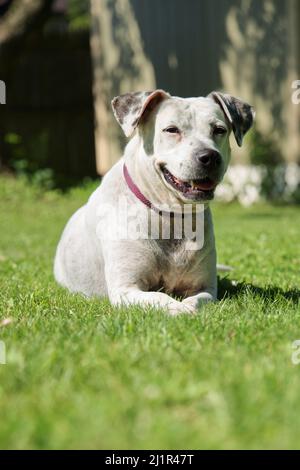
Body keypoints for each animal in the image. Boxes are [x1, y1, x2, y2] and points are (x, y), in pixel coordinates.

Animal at [54, 89, 253, 314]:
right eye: (171, 130)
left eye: (219, 130)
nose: (209, 157)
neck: (171, 215)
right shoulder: (126, 289)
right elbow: (159, 297)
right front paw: (177, 309)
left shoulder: (205, 288)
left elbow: (198, 299)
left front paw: (188, 307)